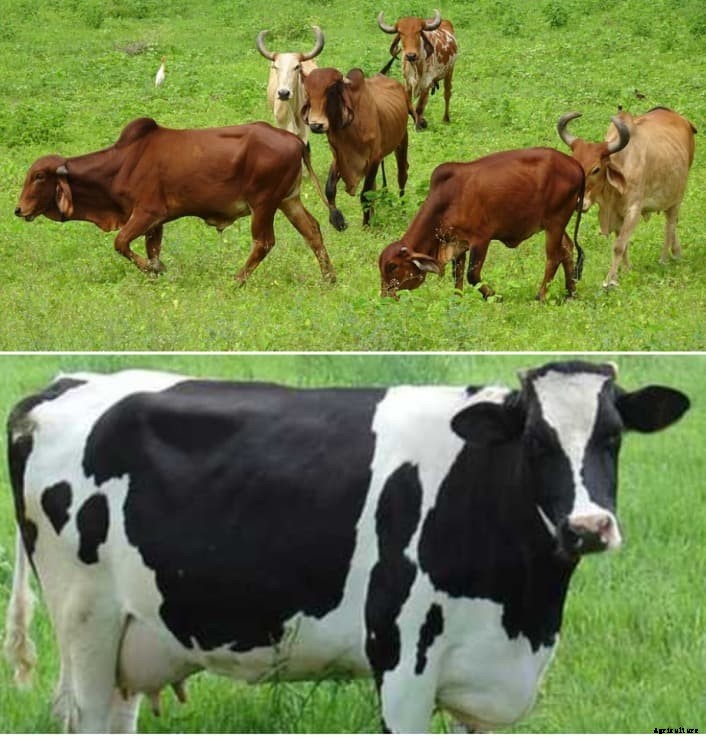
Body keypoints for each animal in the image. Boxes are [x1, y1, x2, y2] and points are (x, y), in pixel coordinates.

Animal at [3, 361, 689, 733]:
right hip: (86, 623)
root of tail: (65, 384)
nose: (588, 526)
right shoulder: (403, 664)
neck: (524, 612)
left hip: (130, 638)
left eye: (613, 437)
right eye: (536, 442)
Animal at [14, 117, 335, 285]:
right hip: (288, 200)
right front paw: (157, 273)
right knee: (313, 231)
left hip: (264, 204)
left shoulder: (146, 213)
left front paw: (157, 270)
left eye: (39, 176)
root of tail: (295, 141)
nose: (19, 210)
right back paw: (329, 279)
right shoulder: (156, 223)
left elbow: (120, 243)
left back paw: (236, 281)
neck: (122, 164)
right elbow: (151, 250)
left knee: (264, 242)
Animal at [301, 66, 412, 231]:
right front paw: (337, 220)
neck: (350, 129)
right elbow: (329, 189)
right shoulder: (338, 157)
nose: (316, 125)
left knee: (402, 176)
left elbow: (365, 194)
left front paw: (366, 225)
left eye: (331, 89)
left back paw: (403, 211)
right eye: (307, 91)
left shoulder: (374, 158)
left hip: (402, 139)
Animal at [379, 148, 586, 301]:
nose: (385, 297)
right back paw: (571, 294)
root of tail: (575, 165)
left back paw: (541, 296)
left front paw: (495, 296)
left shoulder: (480, 239)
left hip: (555, 221)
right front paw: (457, 301)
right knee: (567, 249)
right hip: (556, 223)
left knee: (553, 257)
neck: (447, 200)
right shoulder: (457, 242)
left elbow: (472, 275)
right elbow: (457, 276)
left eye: (392, 266)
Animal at [556, 107, 697, 288]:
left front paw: (610, 280)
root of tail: (682, 119)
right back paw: (677, 253)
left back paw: (664, 259)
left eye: (596, 169)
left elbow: (618, 246)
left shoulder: (633, 211)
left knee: (669, 226)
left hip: (677, 198)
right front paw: (625, 271)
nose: (579, 203)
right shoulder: (616, 215)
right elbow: (623, 245)